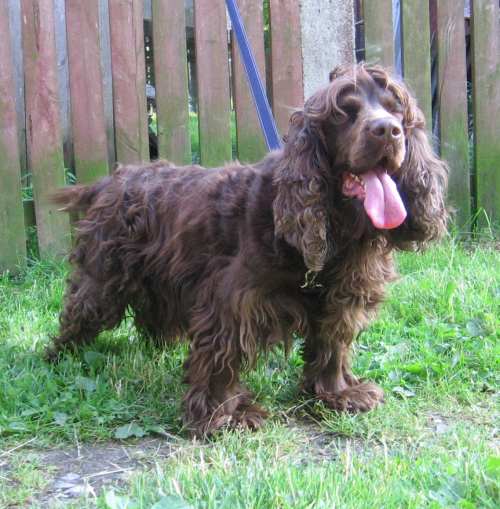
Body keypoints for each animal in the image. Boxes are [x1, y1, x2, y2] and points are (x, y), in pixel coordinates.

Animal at [48, 64, 448, 435]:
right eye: (344, 112)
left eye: (396, 110)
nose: (388, 130)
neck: (332, 226)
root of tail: (109, 180)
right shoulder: (232, 301)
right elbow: (222, 357)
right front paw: (222, 415)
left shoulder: (343, 297)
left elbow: (332, 346)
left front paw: (336, 394)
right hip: (103, 278)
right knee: (79, 313)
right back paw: (60, 356)